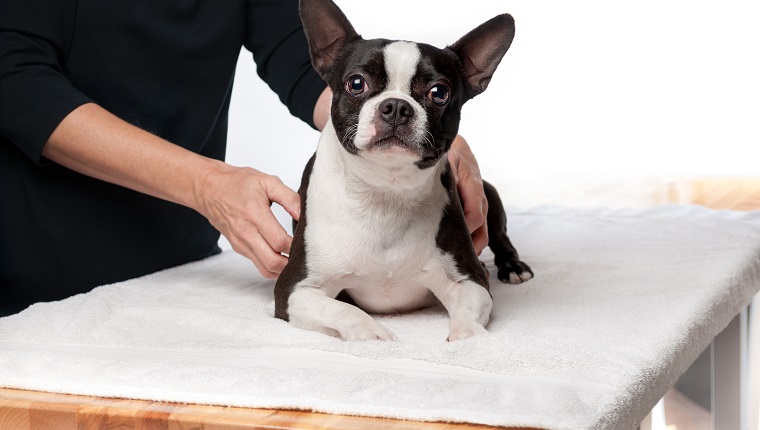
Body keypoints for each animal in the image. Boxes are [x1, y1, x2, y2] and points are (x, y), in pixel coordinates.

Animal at [276, 0, 532, 342]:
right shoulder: (295, 289)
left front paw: (467, 337)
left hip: (487, 193)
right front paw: (373, 336)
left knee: (501, 235)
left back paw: (513, 267)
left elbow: (467, 314)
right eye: (356, 83)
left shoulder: (469, 280)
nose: (397, 106)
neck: (386, 191)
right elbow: (345, 311)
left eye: (439, 92)